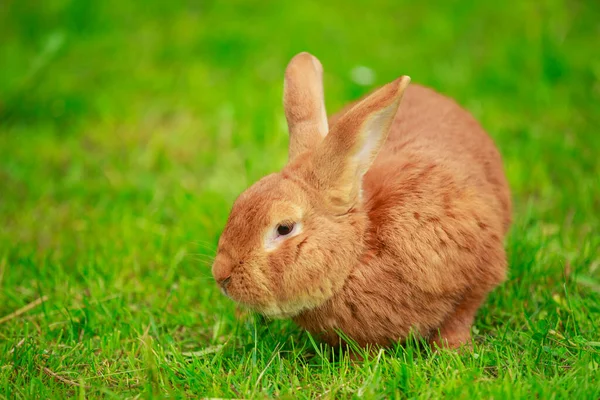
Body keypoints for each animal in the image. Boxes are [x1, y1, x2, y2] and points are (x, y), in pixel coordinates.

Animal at [211, 51, 510, 348]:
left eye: (284, 228)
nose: (221, 275)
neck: (360, 250)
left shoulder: (478, 272)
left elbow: (461, 314)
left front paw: (452, 348)